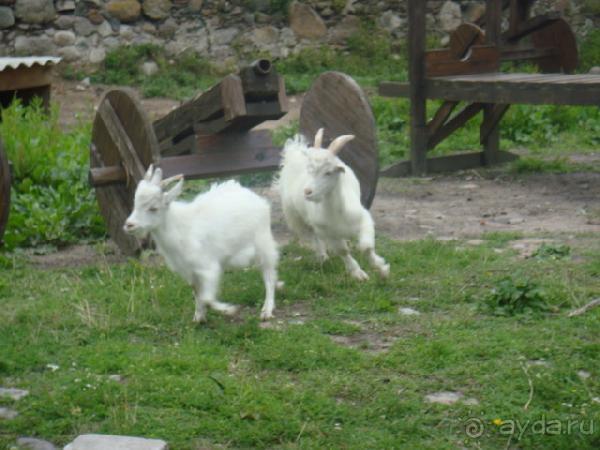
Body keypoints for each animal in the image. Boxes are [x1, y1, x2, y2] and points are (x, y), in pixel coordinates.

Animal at [123, 165, 282, 320]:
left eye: (153, 208)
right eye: (135, 203)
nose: (129, 225)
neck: (180, 227)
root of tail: (254, 197)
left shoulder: (208, 268)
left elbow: (207, 298)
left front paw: (229, 310)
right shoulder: (190, 271)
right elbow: (196, 292)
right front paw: (199, 317)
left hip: (263, 244)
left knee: (269, 275)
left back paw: (267, 310)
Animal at [276, 128, 390, 280]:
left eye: (328, 172)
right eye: (309, 169)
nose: (307, 192)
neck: (337, 213)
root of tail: (293, 152)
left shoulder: (364, 219)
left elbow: (366, 247)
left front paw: (382, 268)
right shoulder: (329, 233)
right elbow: (343, 251)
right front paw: (357, 273)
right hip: (296, 217)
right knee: (313, 236)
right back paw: (322, 257)